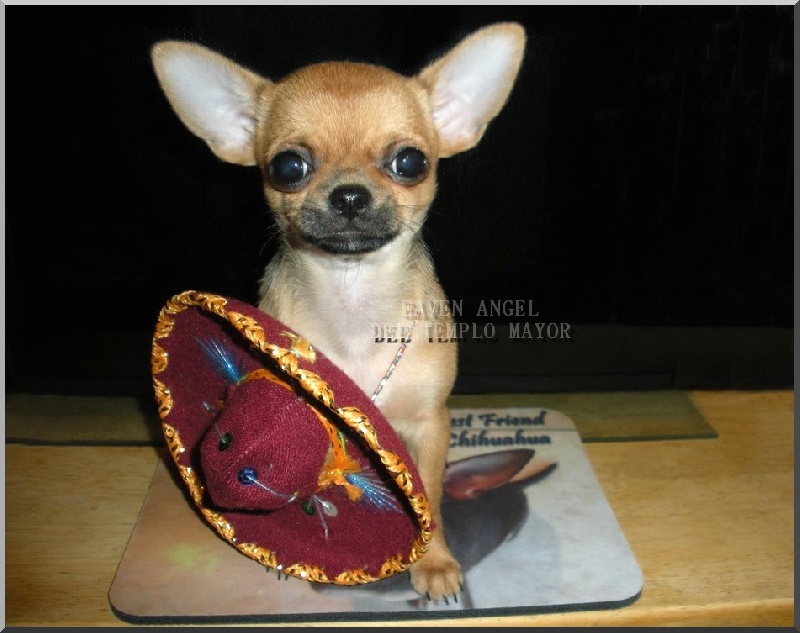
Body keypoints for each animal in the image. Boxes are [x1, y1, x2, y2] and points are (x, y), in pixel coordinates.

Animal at [151, 21, 525, 601]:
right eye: (288, 167)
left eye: (410, 162)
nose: (349, 195)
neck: (355, 302)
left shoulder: (429, 426)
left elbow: (432, 498)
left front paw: (434, 561)